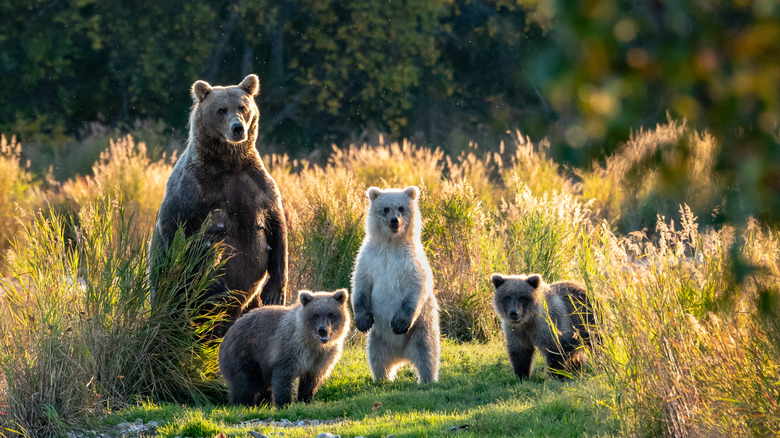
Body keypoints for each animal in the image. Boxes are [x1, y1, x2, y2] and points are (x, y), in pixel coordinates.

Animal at [149, 75, 286, 336]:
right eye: (221, 110)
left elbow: (277, 228)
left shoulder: (257, 185)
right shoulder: (193, 189)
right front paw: (215, 284)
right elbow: (178, 230)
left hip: (249, 303)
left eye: (242, 107)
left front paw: (275, 291)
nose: (238, 128)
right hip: (170, 291)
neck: (228, 163)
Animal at [213, 288, 348, 408]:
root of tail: (227, 334)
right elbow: (283, 377)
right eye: (315, 315)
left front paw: (305, 400)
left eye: (331, 314)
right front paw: (285, 404)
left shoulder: (322, 358)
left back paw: (263, 404)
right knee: (244, 382)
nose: (322, 330)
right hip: (244, 352)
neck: (313, 343)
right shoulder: (291, 347)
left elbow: (311, 381)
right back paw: (243, 404)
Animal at [352, 186, 438, 382]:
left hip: (421, 328)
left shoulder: (412, 261)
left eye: (401, 208)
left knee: (427, 353)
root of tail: (402, 356)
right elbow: (360, 285)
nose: (394, 221)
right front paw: (362, 320)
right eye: (385, 208)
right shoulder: (369, 259)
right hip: (378, 338)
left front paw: (398, 323)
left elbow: (416, 287)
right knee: (377, 358)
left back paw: (427, 379)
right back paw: (383, 378)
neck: (391, 244)